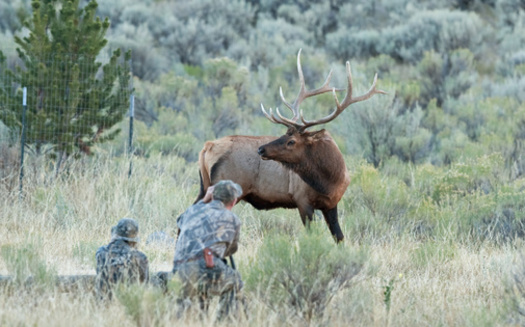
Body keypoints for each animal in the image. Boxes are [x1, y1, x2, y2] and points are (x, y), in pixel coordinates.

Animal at [196, 50, 384, 242]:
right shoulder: (302, 200)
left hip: (204, 186)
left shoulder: (331, 204)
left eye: (291, 141)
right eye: (285, 134)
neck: (330, 180)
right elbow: (311, 235)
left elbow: (339, 237)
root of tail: (207, 147)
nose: (261, 149)